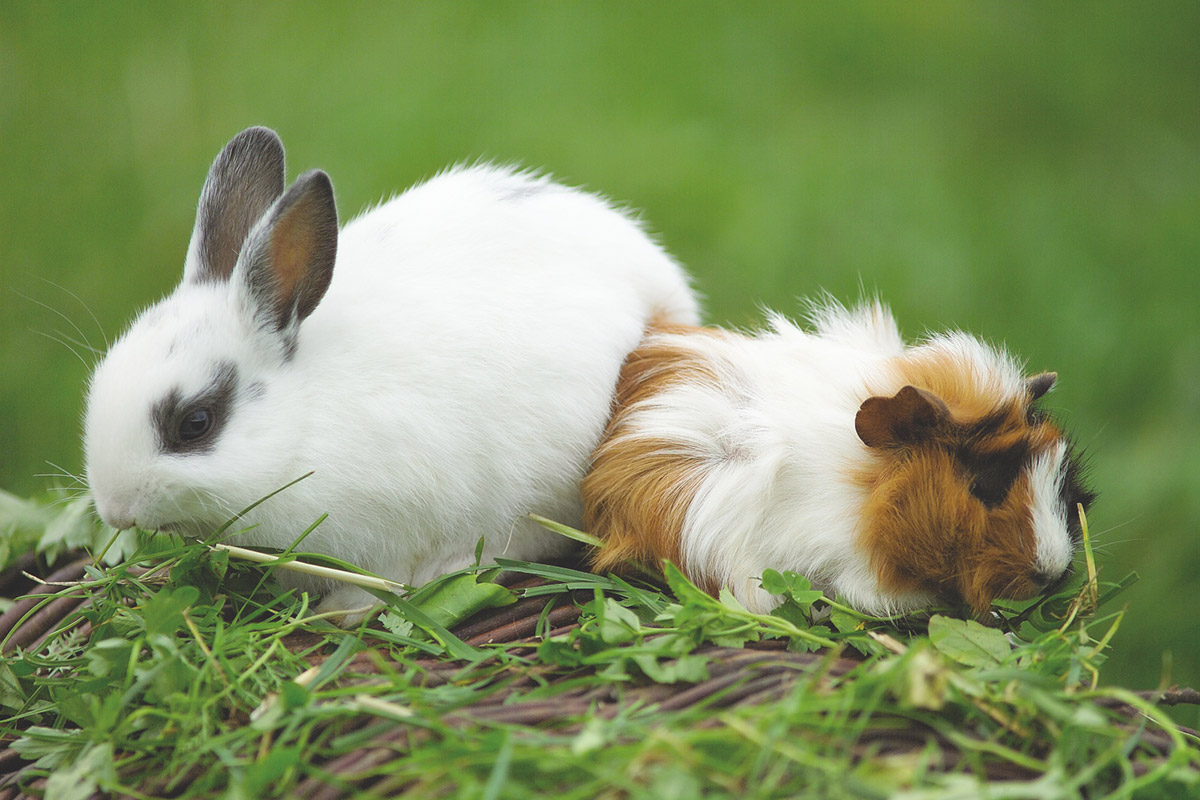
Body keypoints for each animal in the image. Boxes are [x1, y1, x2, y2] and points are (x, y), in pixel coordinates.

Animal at [82, 128, 696, 623]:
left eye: (195, 423)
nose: (114, 510)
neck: (303, 423)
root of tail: (667, 294)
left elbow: (390, 576)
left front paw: (343, 609)